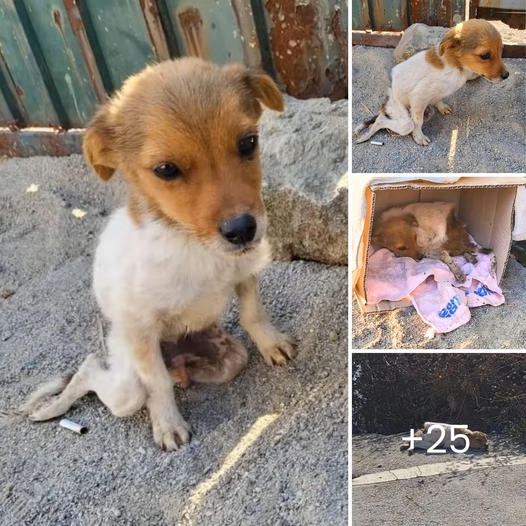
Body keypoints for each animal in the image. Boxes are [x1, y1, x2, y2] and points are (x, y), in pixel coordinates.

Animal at [17, 58, 296, 454]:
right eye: (166, 169)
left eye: (248, 143)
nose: (243, 229)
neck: (193, 246)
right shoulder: (141, 332)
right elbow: (157, 384)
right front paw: (167, 424)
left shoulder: (245, 272)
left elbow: (253, 314)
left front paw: (272, 344)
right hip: (125, 383)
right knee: (92, 369)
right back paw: (53, 406)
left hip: (228, 357)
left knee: (180, 372)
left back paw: (183, 372)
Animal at [356, 18, 510, 146]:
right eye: (484, 55)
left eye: (501, 51)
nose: (507, 75)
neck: (455, 65)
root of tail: (385, 105)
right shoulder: (418, 98)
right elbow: (417, 122)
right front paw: (419, 137)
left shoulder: (436, 93)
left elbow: (438, 99)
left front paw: (442, 107)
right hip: (403, 121)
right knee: (380, 122)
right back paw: (365, 135)